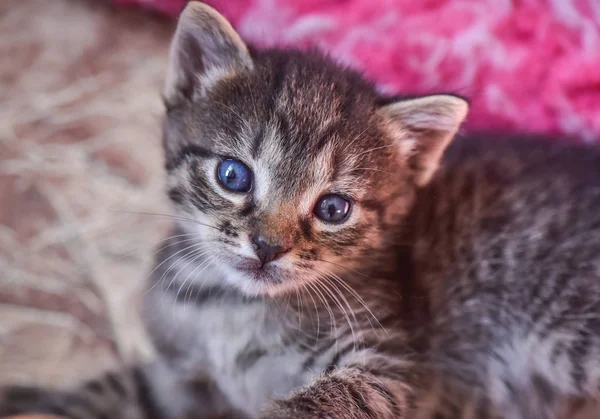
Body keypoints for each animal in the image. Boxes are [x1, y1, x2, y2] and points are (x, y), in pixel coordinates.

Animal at [1, 3, 600, 419]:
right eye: (233, 176)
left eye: (333, 207)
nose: (267, 247)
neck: (228, 308)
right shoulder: (174, 381)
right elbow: (113, 388)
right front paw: (25, 394)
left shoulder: (396, 365)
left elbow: (330, 399)